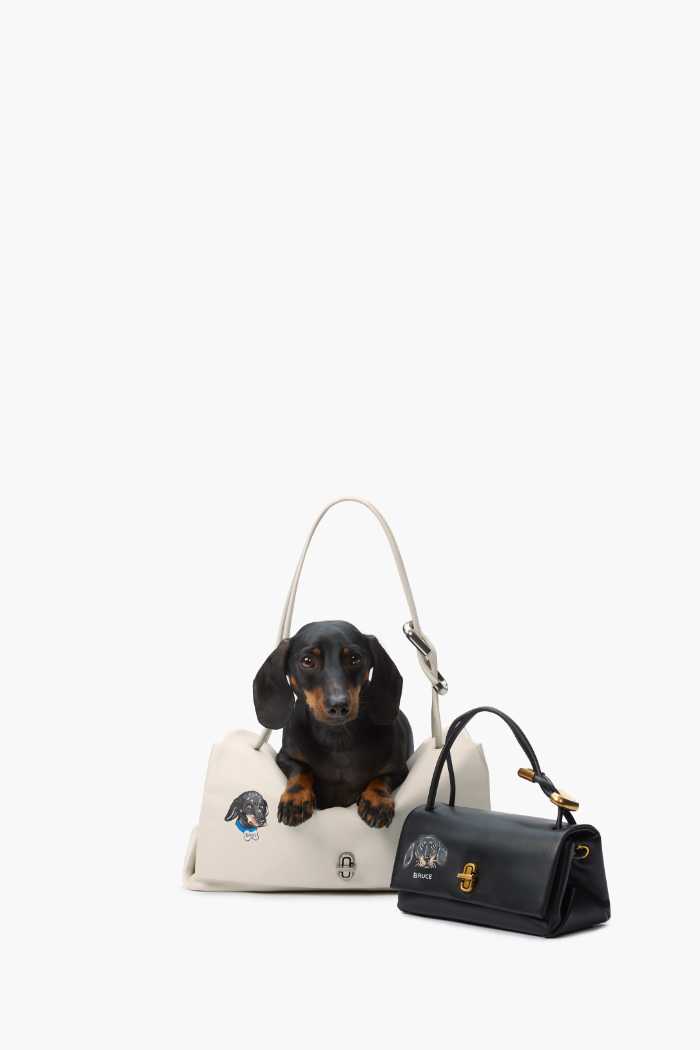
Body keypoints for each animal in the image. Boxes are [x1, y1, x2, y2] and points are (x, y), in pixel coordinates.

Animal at [253, 620, 414, 828]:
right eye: (307, 661)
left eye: (354, 658)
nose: (338, 705)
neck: (337, 738)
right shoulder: (285, 757)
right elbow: (301, 770)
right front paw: (296, 799)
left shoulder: (400, 770)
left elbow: (381, 779)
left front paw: (376, 801)